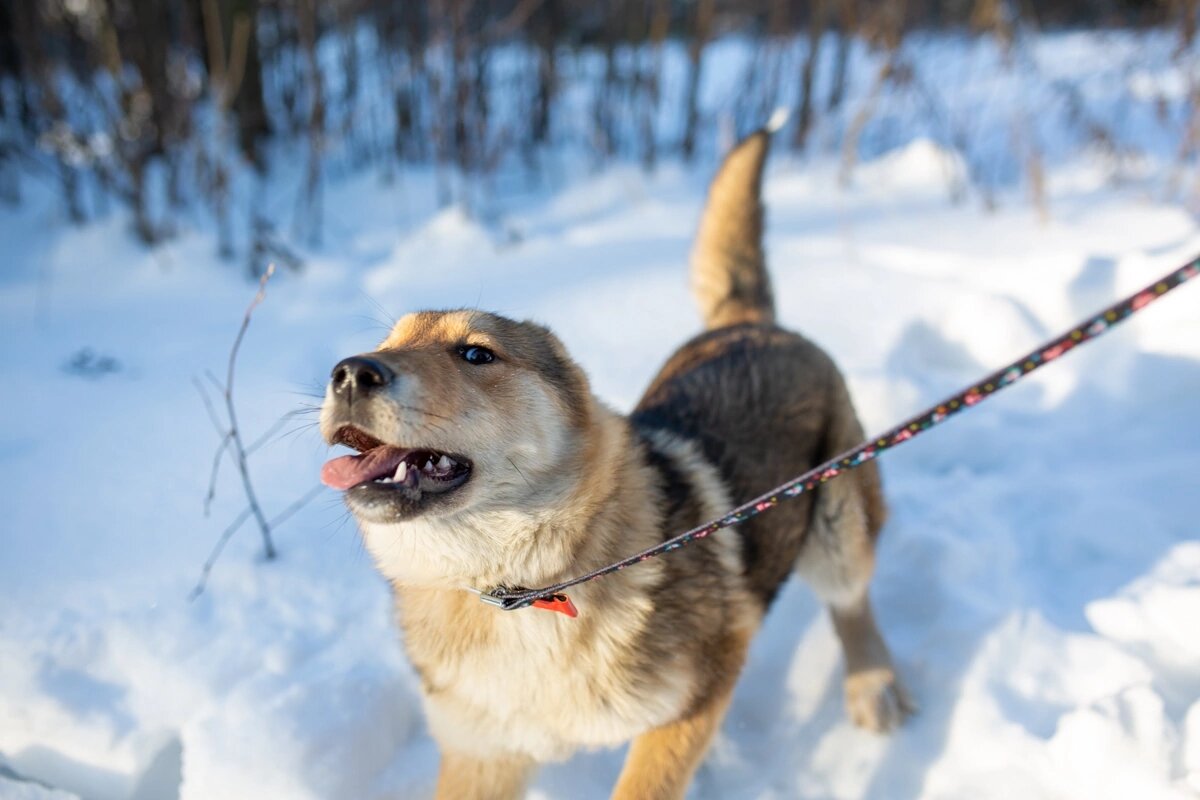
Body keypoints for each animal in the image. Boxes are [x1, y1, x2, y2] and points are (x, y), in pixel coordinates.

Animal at [319, 128, 907, 796]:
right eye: (388, 344)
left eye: (475, 353)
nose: (349, 373)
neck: (523, 588)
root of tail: (749, 322)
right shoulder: (481, 753)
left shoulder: (693, 698)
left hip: (838, 525)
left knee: (851, 601)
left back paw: (873, 686)